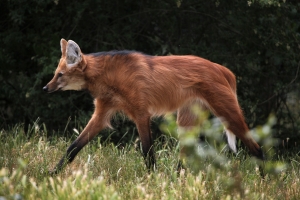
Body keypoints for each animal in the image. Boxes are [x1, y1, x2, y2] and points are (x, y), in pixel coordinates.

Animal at [43, 38, 264, 174]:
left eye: (60, 75)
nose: (45, 88)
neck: (108, 76)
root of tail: (223, 69)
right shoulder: (103, 112)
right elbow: (73, 147)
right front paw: (51, 174)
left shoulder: (141, 113)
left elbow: (147, 151)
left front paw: (151, 178)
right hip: (187, 118)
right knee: (185, 154)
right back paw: (177, 180)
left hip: (226, 111)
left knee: (256, 148)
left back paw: (264, 180)